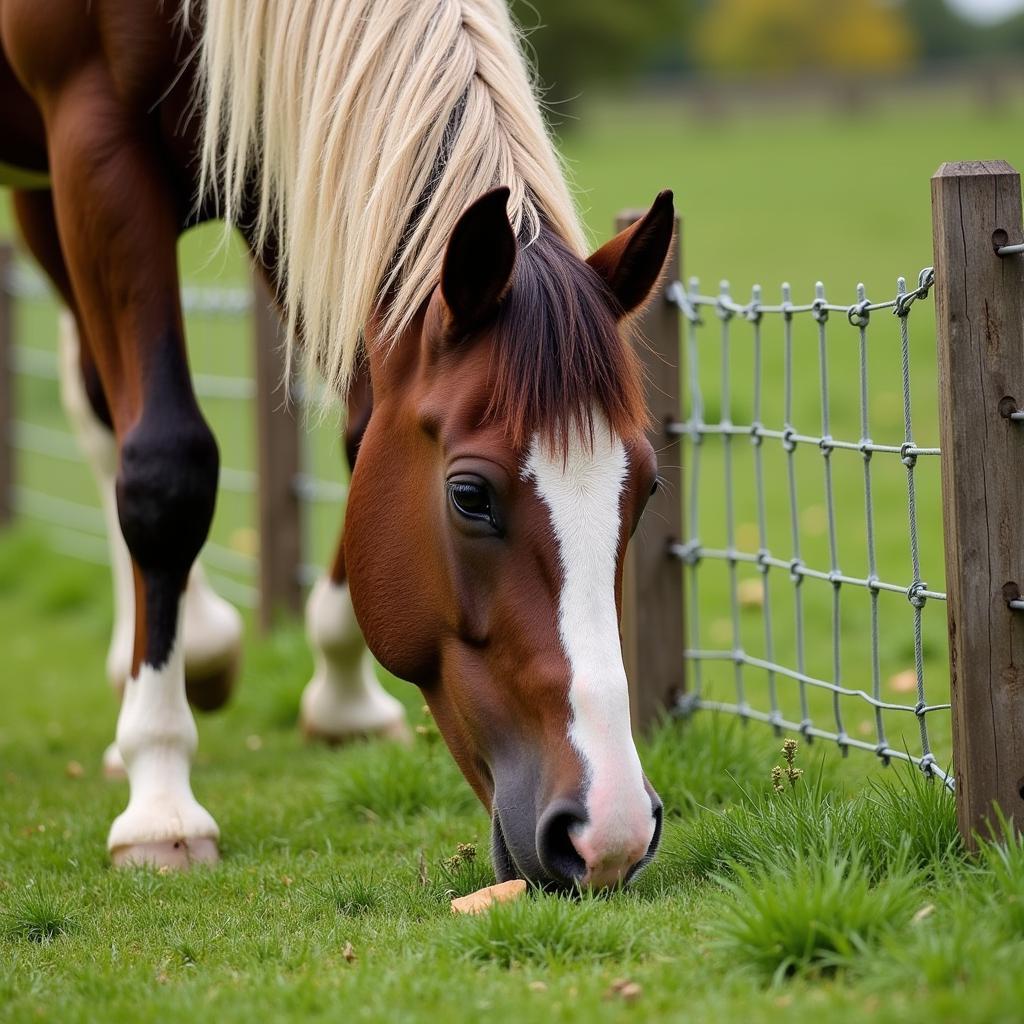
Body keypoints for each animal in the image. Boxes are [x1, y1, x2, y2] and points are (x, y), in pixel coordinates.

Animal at [2, 0, 679, 888]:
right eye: (469, 496)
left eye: (647, 489)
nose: (610, 833)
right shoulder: (91, 138)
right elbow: (164, 465)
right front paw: (160, 795)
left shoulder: (289, 155)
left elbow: (363, 434)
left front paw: (343, 702)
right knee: (103, 410)